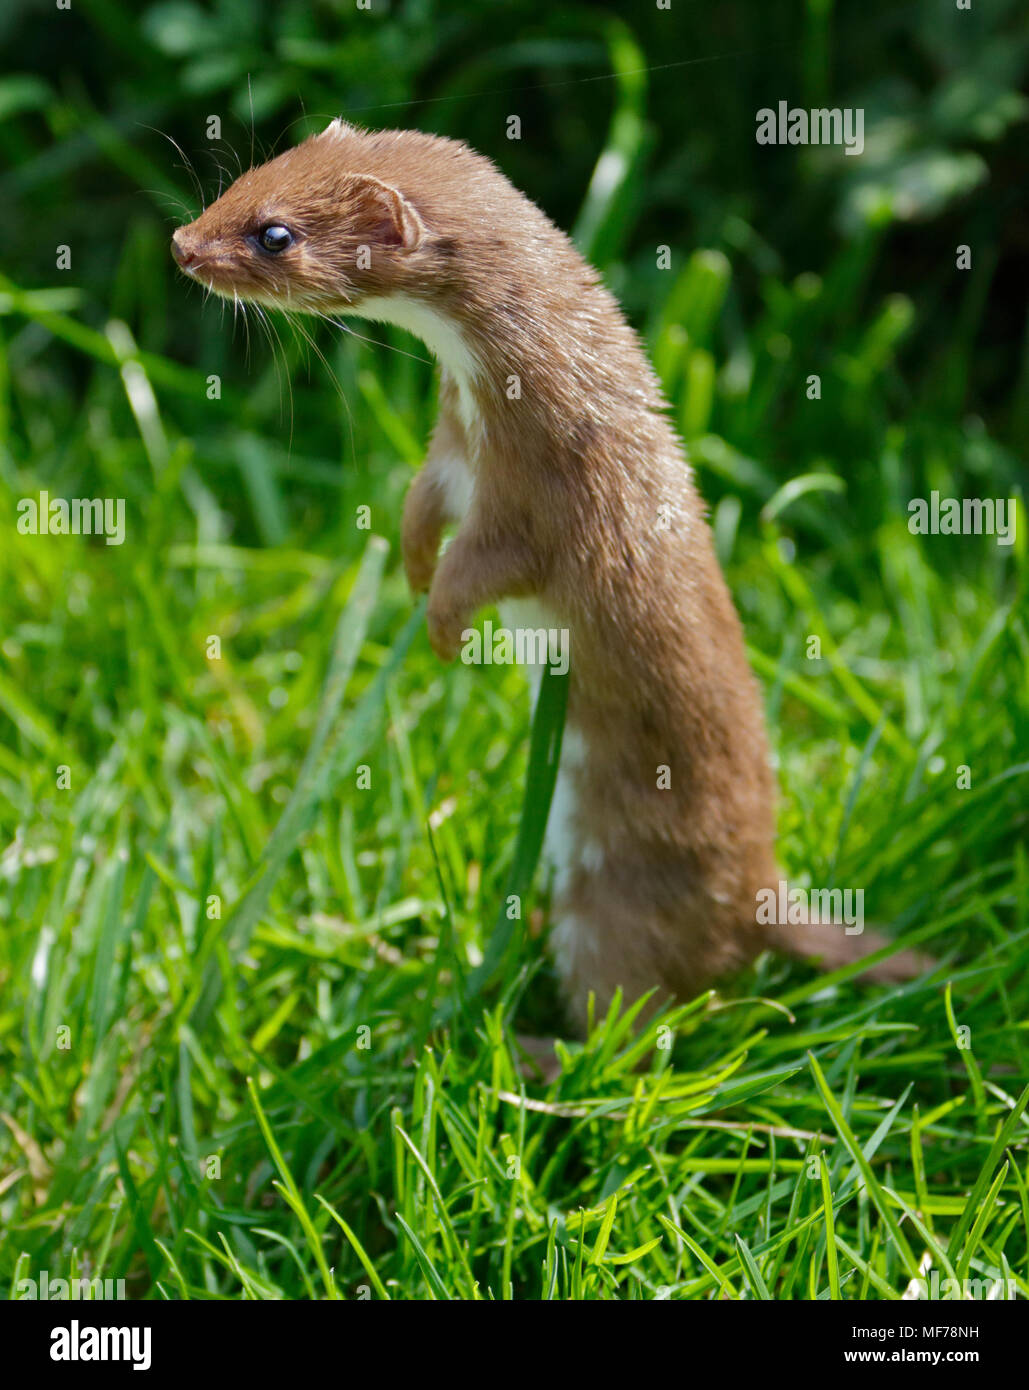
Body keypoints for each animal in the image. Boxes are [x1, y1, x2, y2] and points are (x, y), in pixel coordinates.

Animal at [171, 122, 934, 1034]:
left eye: (274, 234)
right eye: (251, 173)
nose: (180, 244)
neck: (488, 416)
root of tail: (762, 892)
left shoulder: (540, 508)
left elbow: (486, 567)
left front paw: (440, 627)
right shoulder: (450, 458)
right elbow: (420, 502)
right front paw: (412, 564)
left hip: (615, 903)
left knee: (634, 1018)